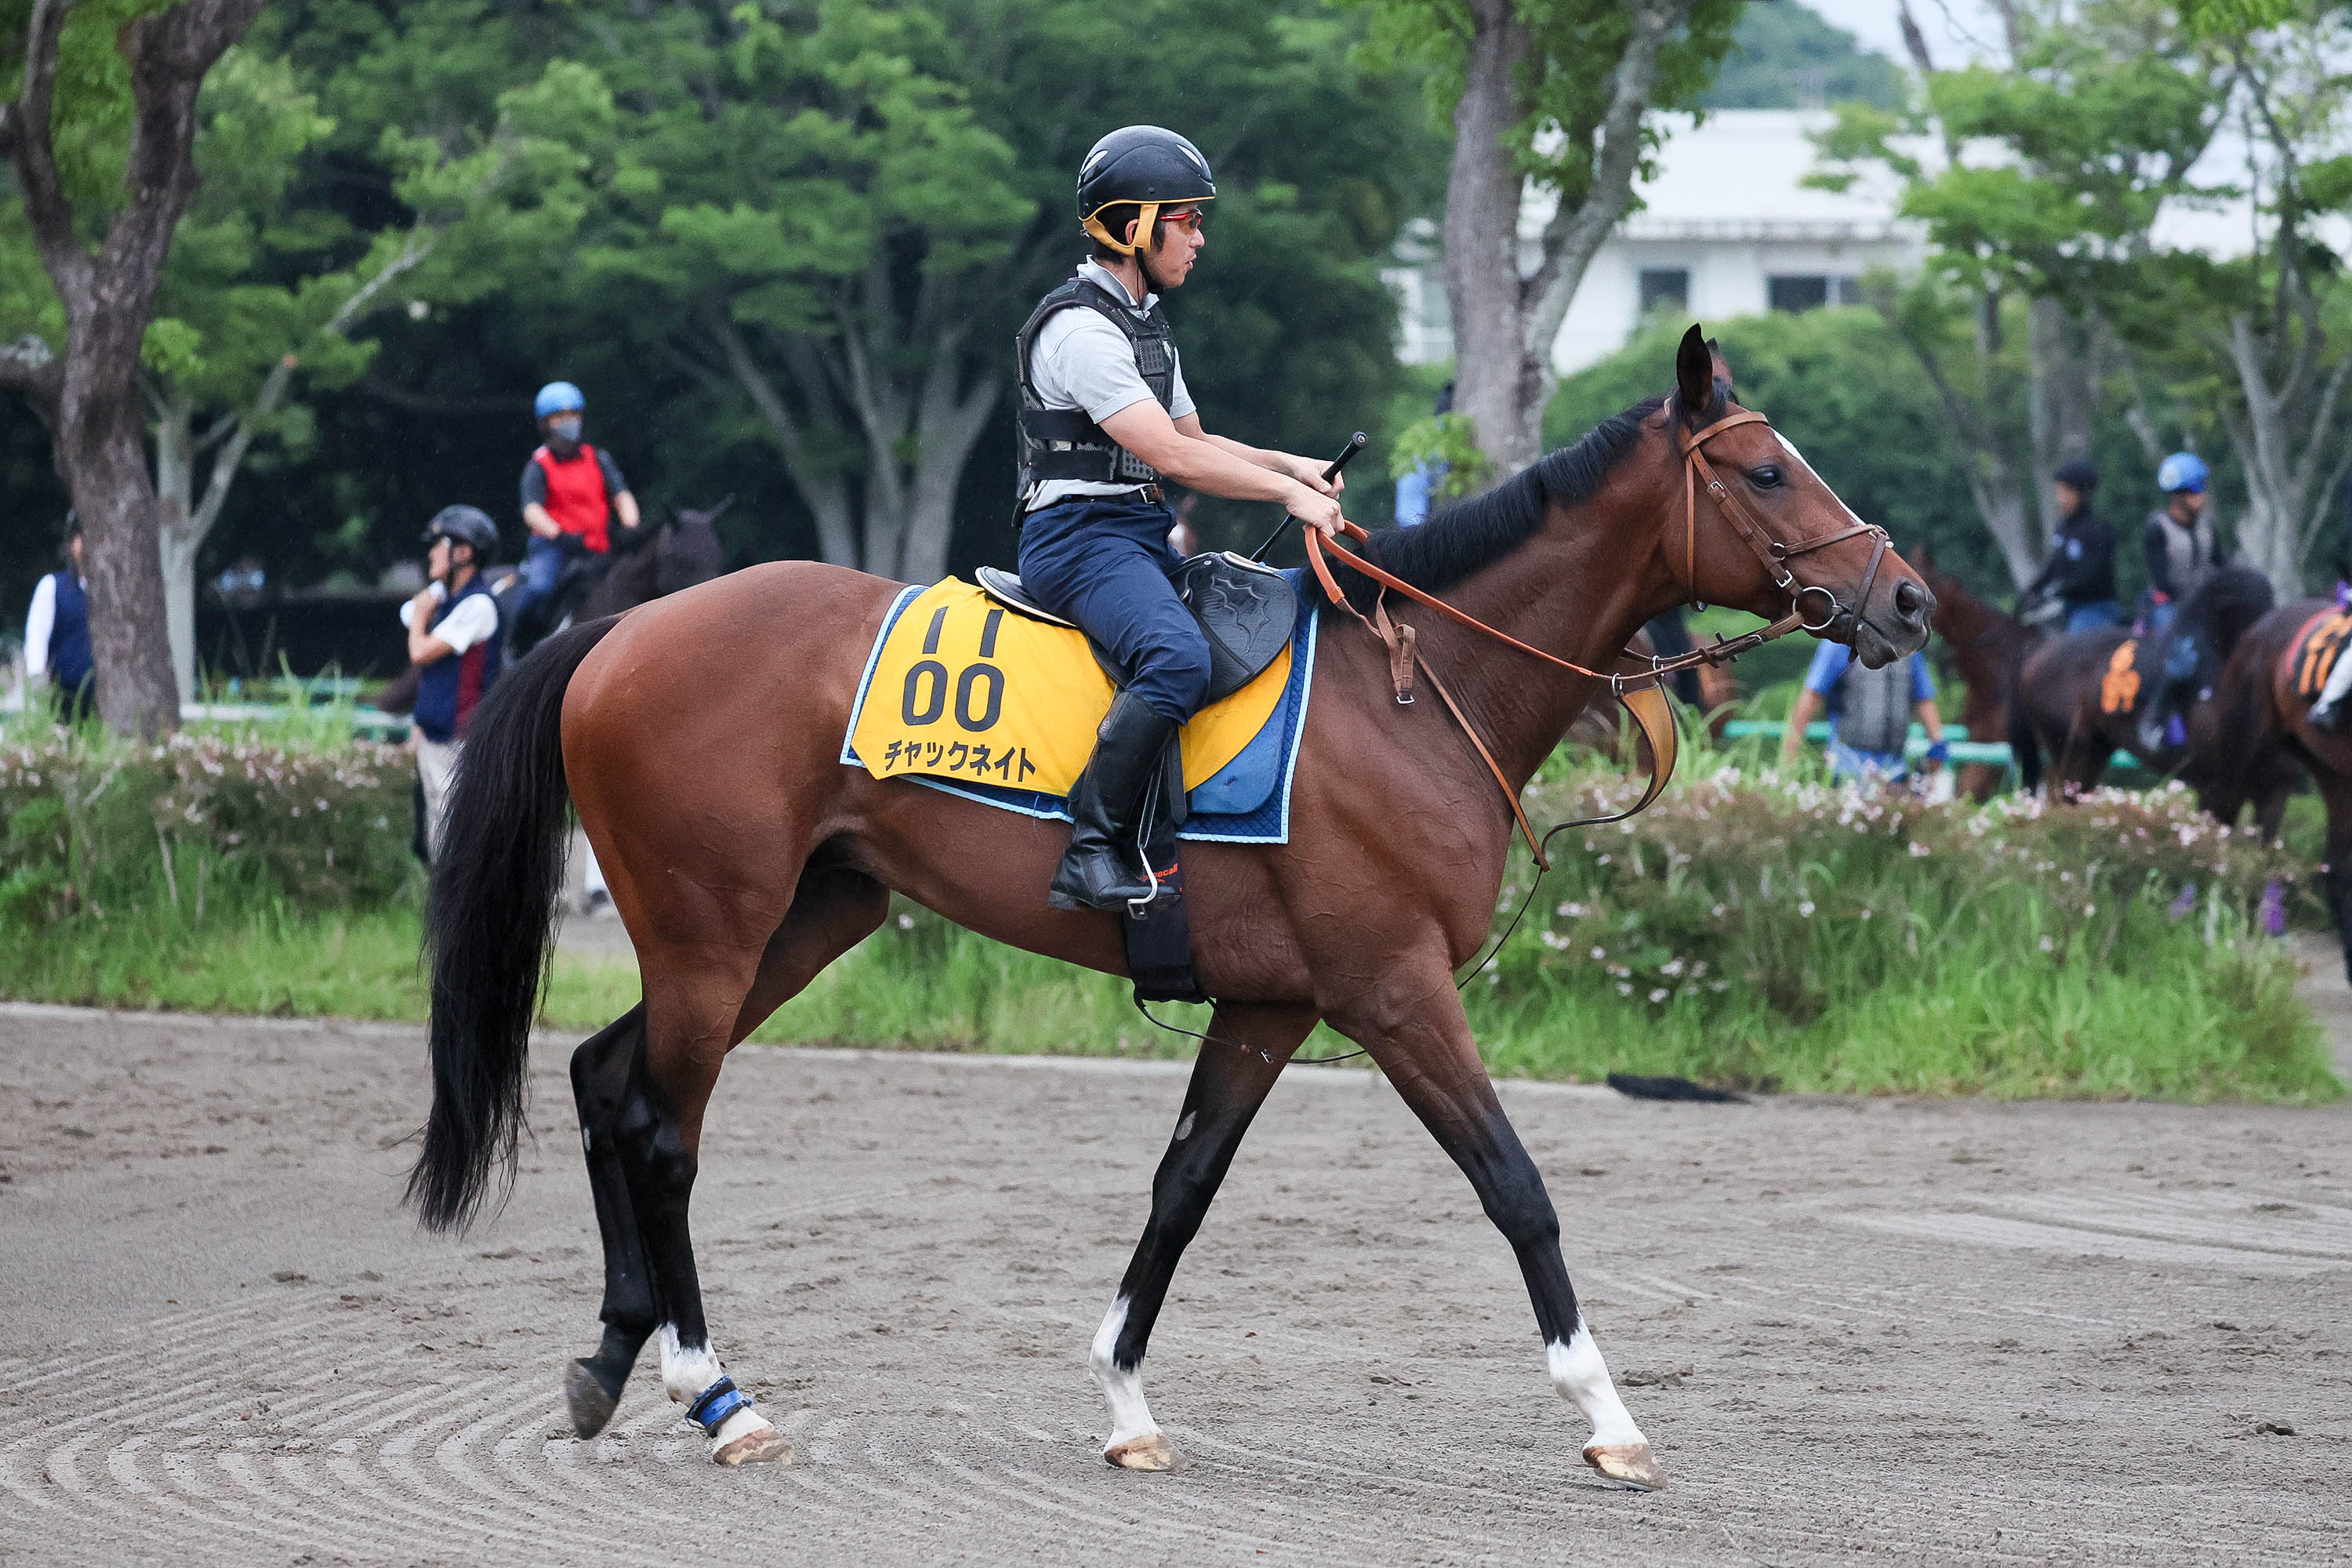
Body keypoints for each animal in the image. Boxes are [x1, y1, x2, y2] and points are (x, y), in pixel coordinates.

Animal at [395, 333, 1919, 1495]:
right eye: (1768, 469)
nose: (1904, 595)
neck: (1414, 693)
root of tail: (626, 628)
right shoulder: (1395, 993)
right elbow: (1516, 1189)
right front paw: (1607, 1415)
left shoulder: (1270, 1005)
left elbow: (1181, 1195)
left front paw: (1125, 1404)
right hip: (715, 932)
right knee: (662, 1130)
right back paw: (717, 1392)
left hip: (800, 924)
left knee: (607, 1080)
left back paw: (614, 1356)